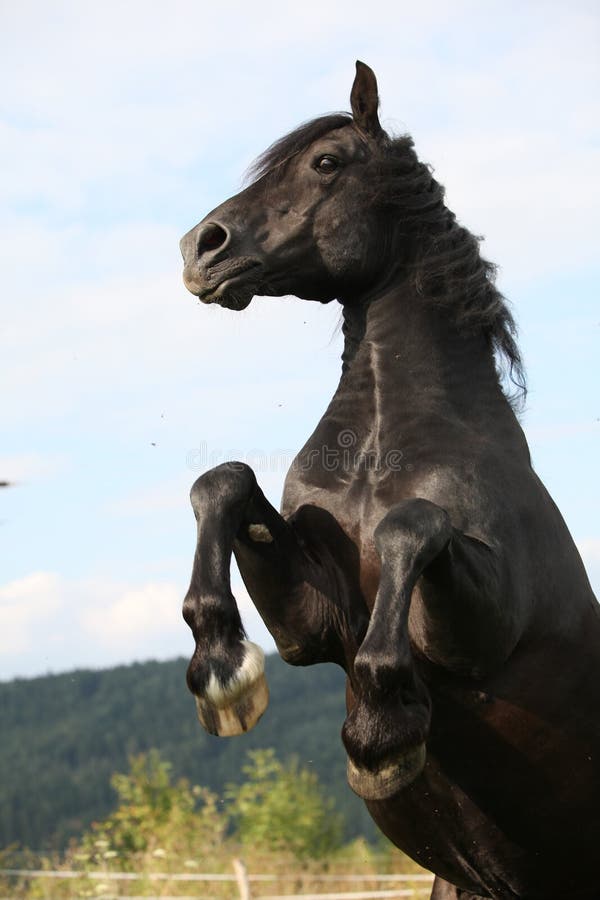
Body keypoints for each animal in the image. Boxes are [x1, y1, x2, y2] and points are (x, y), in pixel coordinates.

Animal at [179, 62, 600, 899]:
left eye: (327, 163)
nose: (200, 248)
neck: (376, 453)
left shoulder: (476, 635)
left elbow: (413, 524)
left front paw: (380, 734)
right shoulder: (309, 624)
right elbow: (224, 483)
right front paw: (222, 672)